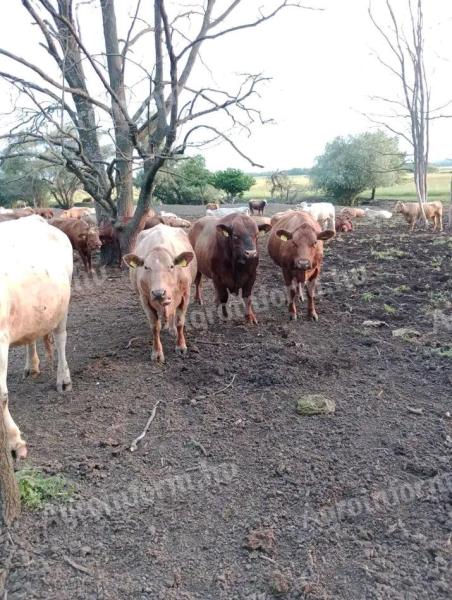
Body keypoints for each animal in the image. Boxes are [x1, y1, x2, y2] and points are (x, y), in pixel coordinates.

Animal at [0, 216, 73, 454]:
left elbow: (1, 395)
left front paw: (14, 441)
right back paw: (32, 365)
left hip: (63, 303)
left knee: (60, 338)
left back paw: (63, 379)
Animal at [123, 225, 196, 364]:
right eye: (146, 267)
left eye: (172, 266)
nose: (158, 293)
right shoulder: (145, 299)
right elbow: (154, 327)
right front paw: (157, 353)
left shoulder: (185, 295)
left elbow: (180, 322)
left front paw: (181, 346)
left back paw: (172, 329)